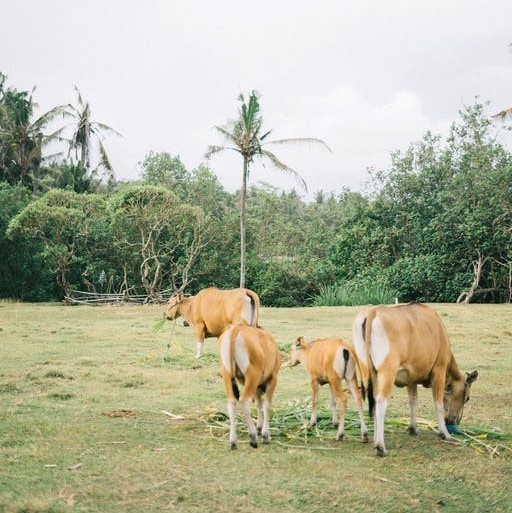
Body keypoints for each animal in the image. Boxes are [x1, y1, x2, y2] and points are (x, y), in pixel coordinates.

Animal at [354, 300, 478, 456]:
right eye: (467, 398)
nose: (454, 422)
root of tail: (374, 311)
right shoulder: (439, 370)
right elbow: (438, 404)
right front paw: (444, 433)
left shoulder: (411, 377)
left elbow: (413, 401)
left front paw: (413, 428)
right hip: (387, 371)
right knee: (381, 402)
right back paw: (380, 446)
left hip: (369, 373)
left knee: (371, 401)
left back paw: (374, 438)